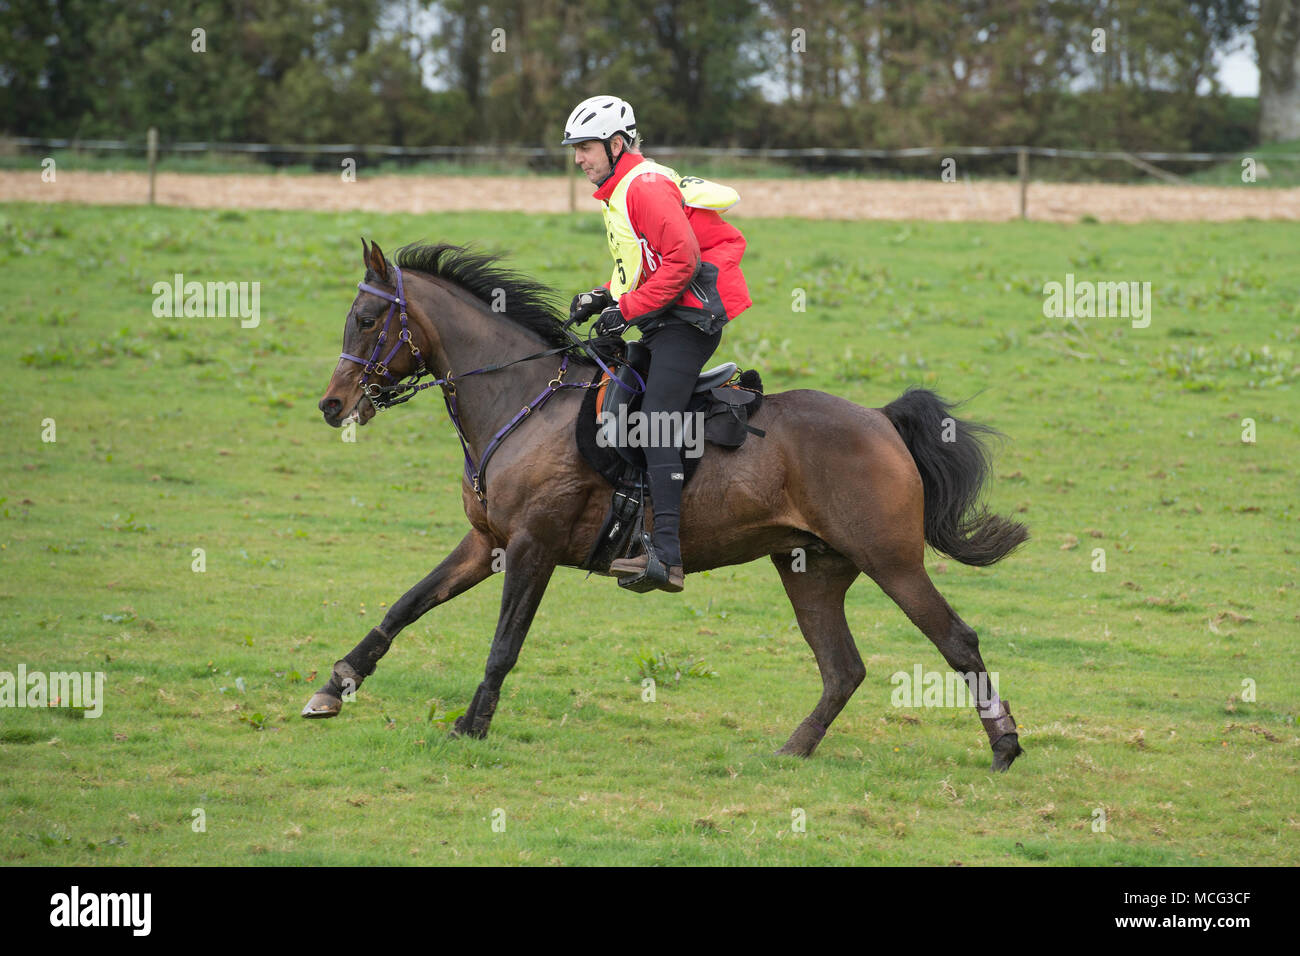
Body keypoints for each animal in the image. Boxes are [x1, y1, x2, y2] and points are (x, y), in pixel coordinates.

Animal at [305, 239, 1030, 771]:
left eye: (367, 320)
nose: (332, 405)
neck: (522, 399)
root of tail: (879, 420)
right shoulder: (487, 545)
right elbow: (404, 607)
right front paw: (334, 686)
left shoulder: (533, 548)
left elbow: (504, 644)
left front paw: (472, 724)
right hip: (812, 569)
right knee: (842, 668)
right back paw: (794, 748)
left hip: (892, 561)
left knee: (957, 641)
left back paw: (1005, 746)